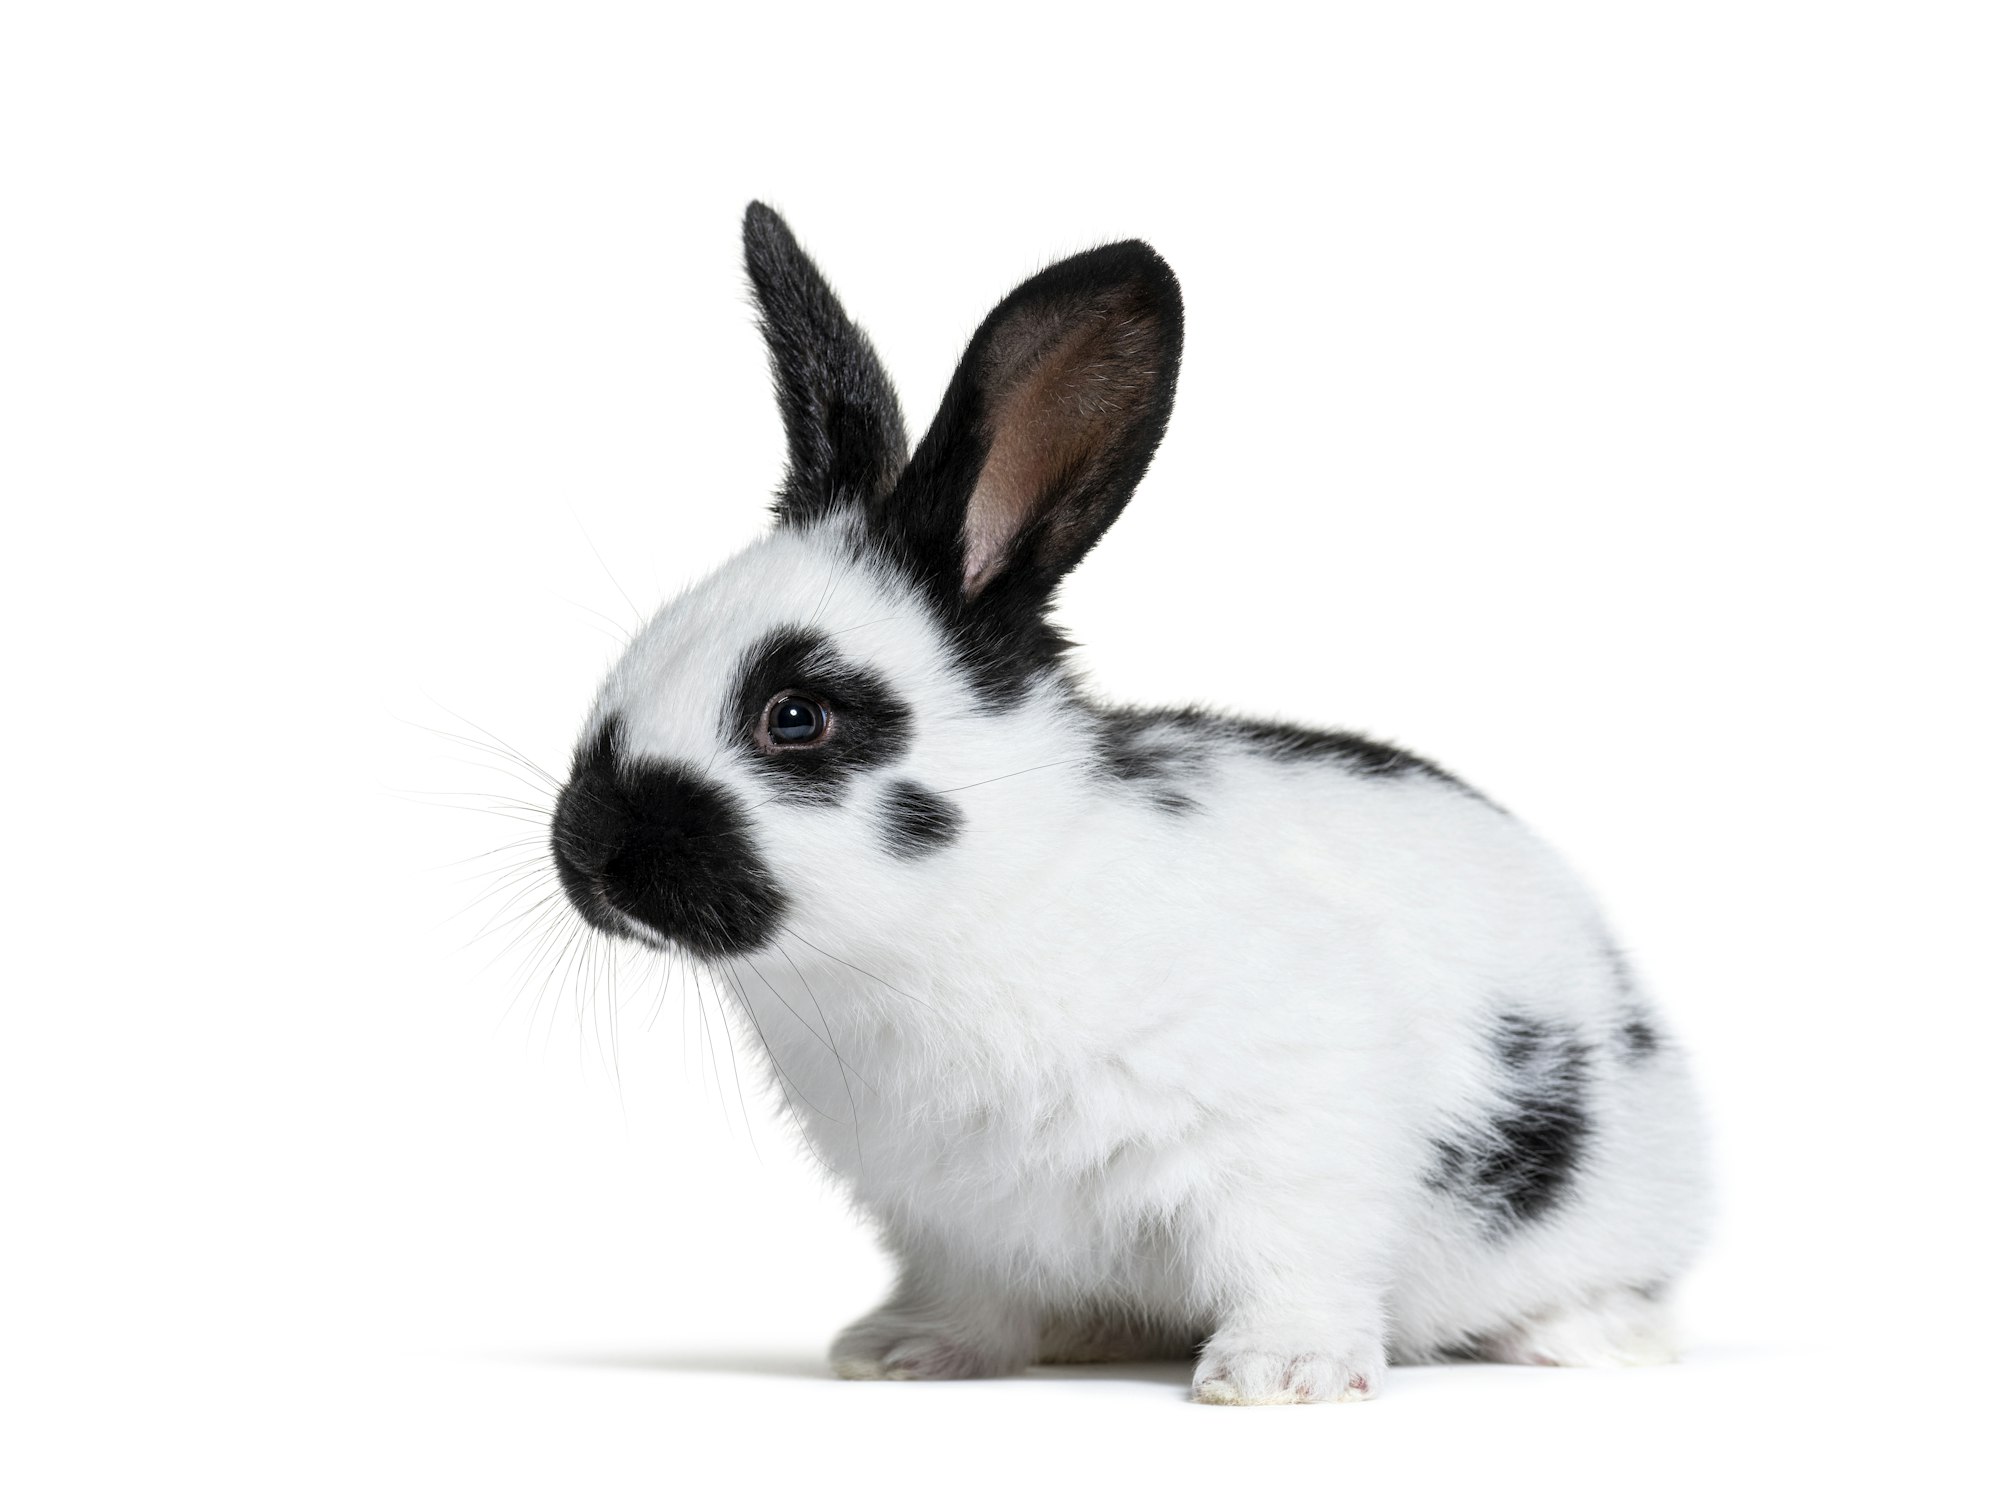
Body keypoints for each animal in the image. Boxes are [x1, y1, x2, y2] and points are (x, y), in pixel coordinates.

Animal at [544, 200, 1704, 1400]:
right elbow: (972, 1298)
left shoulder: (1295, 1136)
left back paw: (1583, 1339)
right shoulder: (953, 1222)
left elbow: (1298, 1260)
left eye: (796, 717)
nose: (587, 852)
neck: (957, 917)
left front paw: (1275, 1376)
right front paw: (903, 1355)